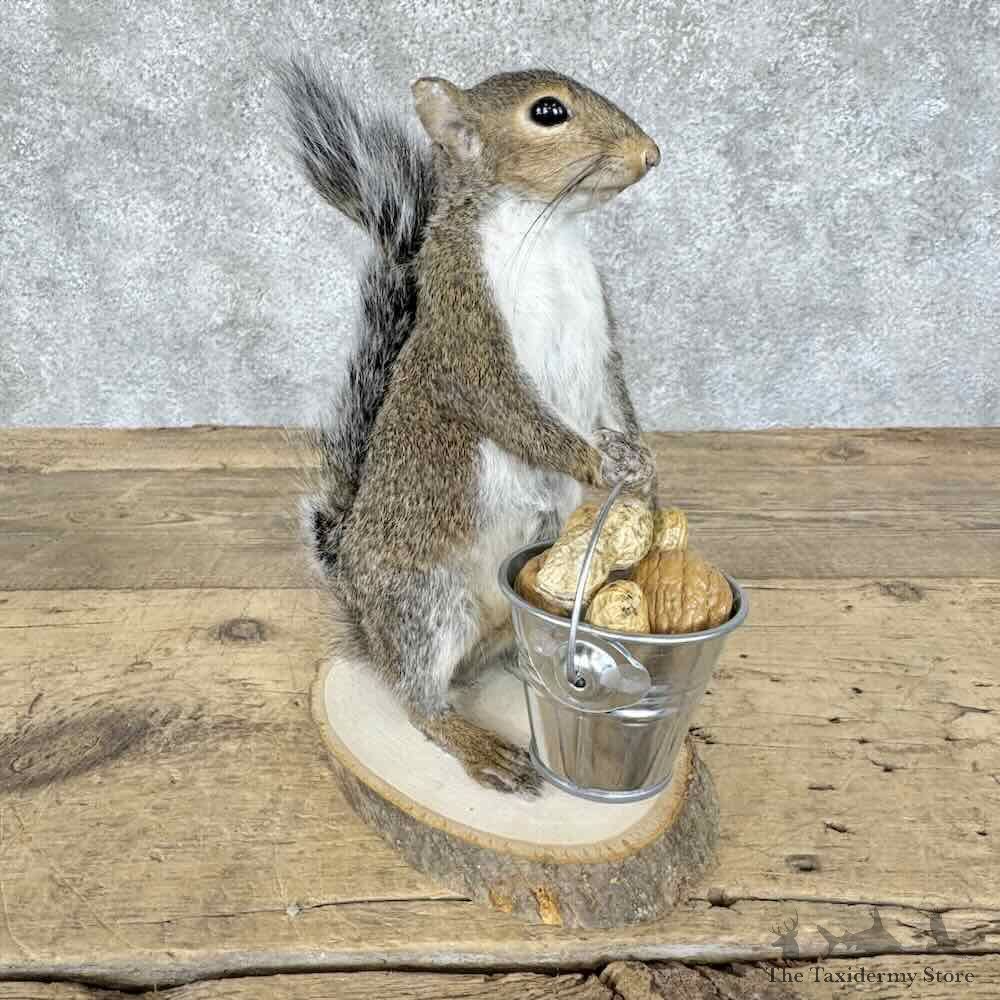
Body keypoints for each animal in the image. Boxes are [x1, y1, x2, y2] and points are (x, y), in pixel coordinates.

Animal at [278, 59, 659, 795]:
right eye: (548, 113)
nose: (650, 153)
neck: (548, 233)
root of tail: (364, 619)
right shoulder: (466, 332)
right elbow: (510, 410)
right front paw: (598, 465)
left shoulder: (602, 349)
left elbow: (617, 402)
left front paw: (647, 476)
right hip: (427, 603)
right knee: (420, 702)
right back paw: (477, 744)